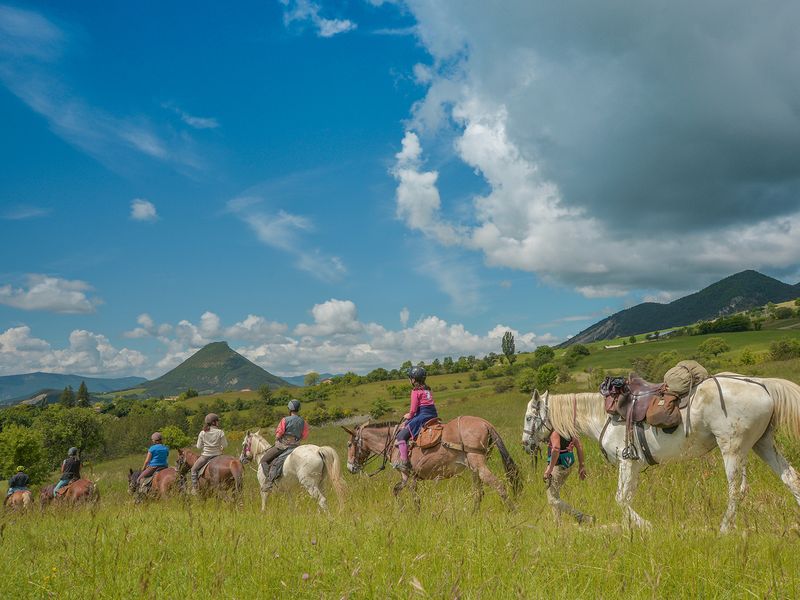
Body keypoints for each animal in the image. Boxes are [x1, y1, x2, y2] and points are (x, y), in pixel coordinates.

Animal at [342, 418, 520, 510]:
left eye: (349, 445)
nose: (350, 467)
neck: (393, 442)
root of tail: (484, 423)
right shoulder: (410, 477)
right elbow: (400, 491)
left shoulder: (406, 474)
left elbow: (410, 496)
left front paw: (412, 513)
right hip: (474, 469)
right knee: (479, 492)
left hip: (479, 465)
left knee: (499, 486)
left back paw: (513, 512)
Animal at [520, 376, 800, 536]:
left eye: (529, 417)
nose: (525, 445)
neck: (603, 416)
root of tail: (763, 385)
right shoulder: (632, 466)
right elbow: (625, 499)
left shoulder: (626, 462)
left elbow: (621, 499)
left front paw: (645, 526)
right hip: (763, 444)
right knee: (791, 479)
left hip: (733, 448)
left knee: (737, 491)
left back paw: (723, 529)